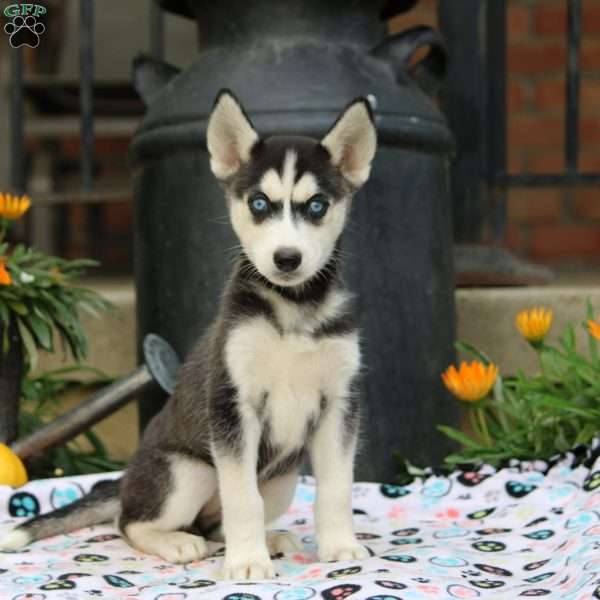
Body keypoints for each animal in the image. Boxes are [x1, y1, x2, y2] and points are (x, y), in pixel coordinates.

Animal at [0, 90, 376, 580]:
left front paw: (340, 547)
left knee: (215, 523)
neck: (292, 308)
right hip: (187, 471)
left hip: (281, 479)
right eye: (259, 204)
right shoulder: (232, 404)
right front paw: (248, 564)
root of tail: (125, 479)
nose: (287, 258)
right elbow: (242, 499)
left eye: (316, 206)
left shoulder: (339, 405)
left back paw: (267, 540)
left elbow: (336, 488)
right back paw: (178, 542)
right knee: (131, 523)